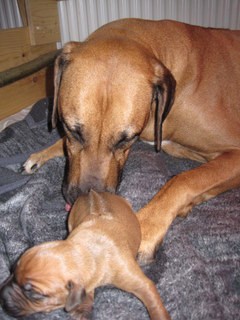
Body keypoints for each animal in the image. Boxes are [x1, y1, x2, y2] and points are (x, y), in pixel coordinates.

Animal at [0, 191, 171, 318]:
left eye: (34, 294)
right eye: (12, 270)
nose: (2, 298)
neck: (86, 249)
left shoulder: (140, 283)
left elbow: (154, 304)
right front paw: (82, 308)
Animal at [23, 18, 240, 262]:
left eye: (125, 140)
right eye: (72, 130)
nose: (85, 199)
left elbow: (184, 179)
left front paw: (144, 227)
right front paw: (41, 154)